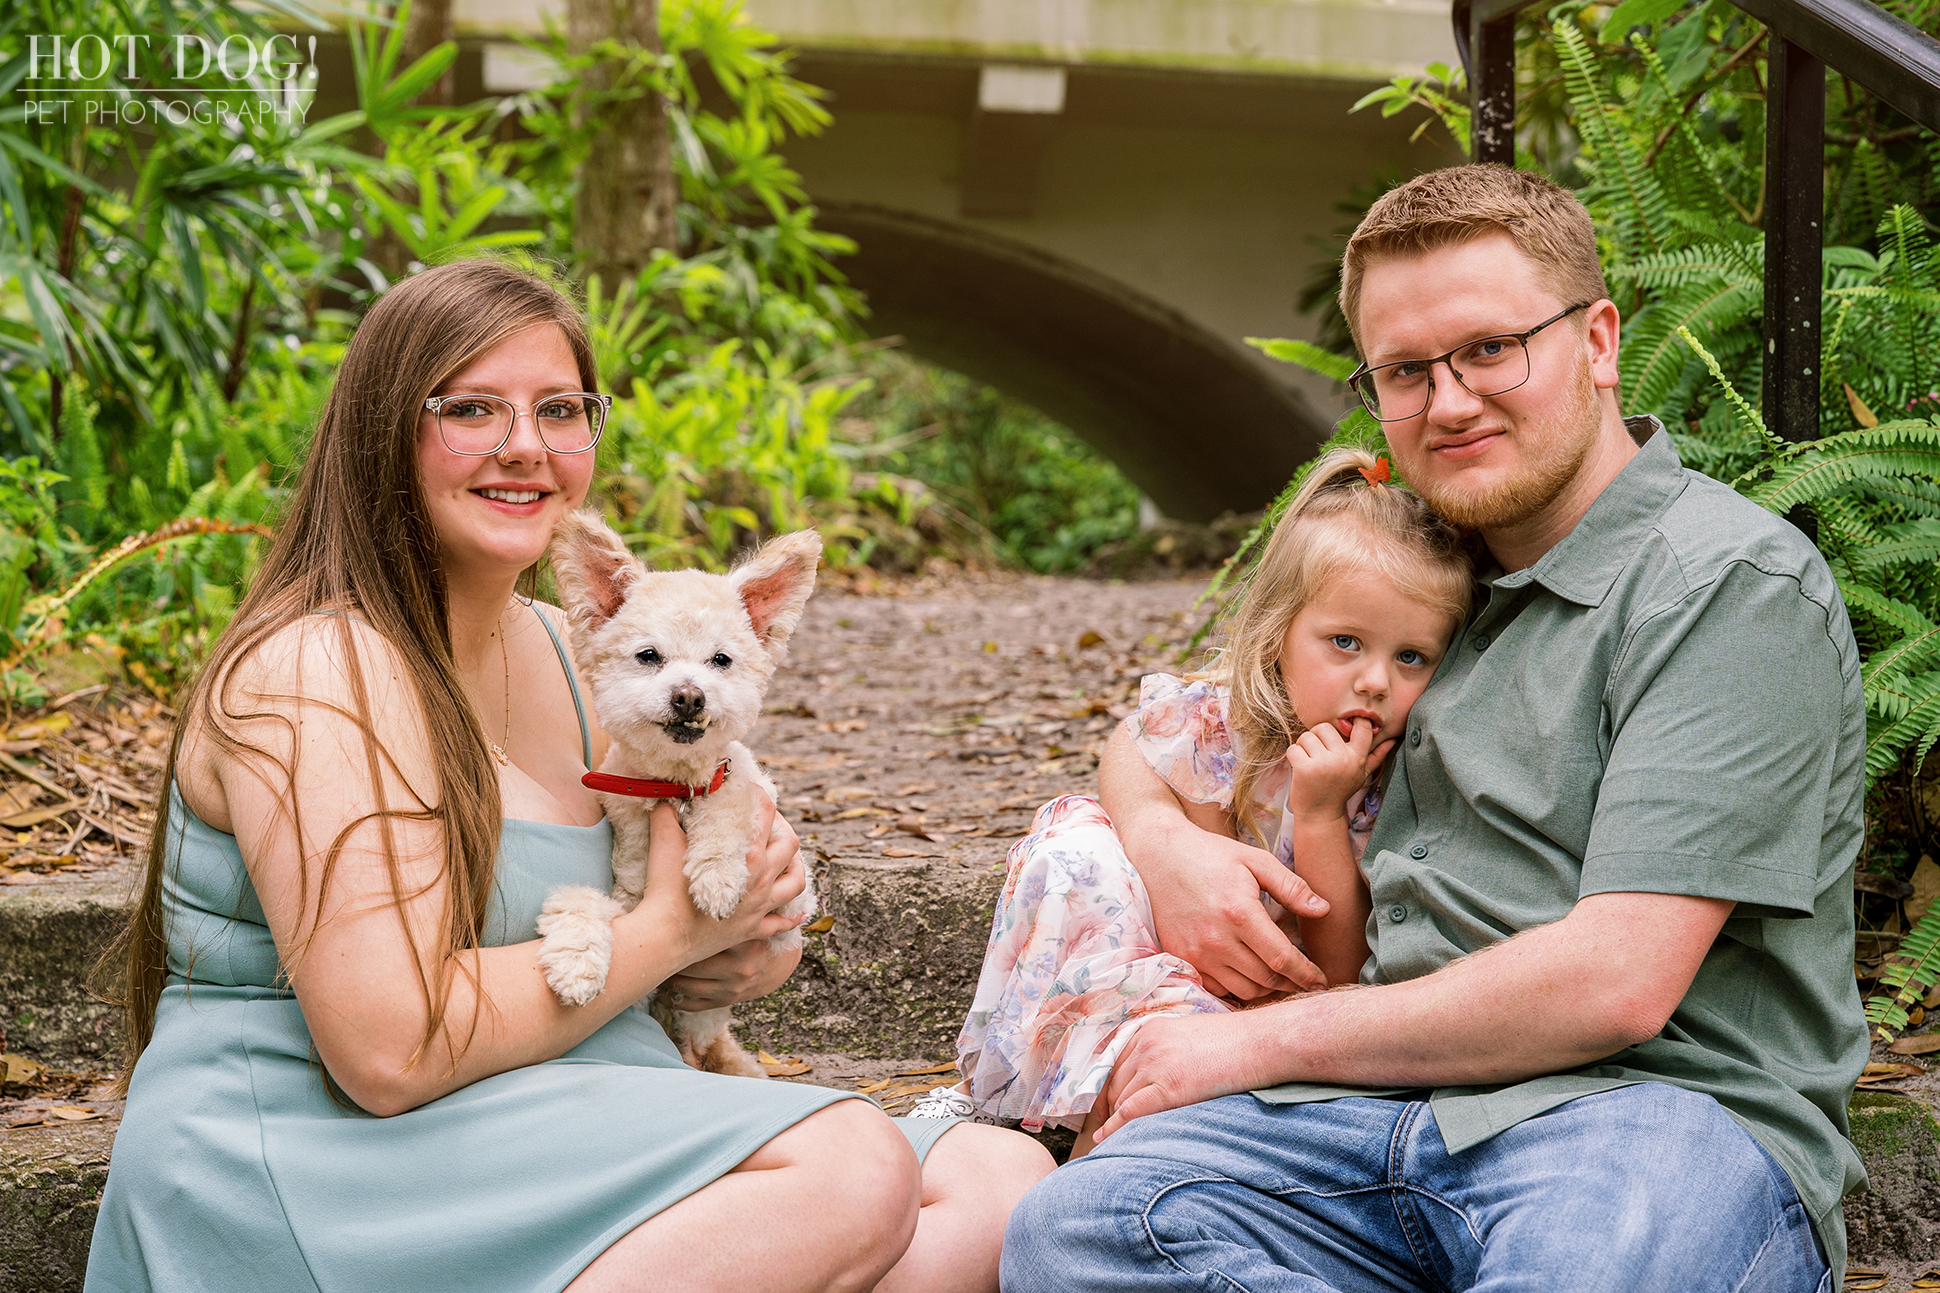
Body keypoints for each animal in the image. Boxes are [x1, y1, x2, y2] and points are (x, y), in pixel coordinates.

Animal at [535, 508, 822, 1071]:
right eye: (649, 656)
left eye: (721, 660)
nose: (689, 696)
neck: (673, 785)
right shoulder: (630, 898)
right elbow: (579, 902)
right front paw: (575, 962)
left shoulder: (788, 907)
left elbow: (729, 801)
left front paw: (716, 875)